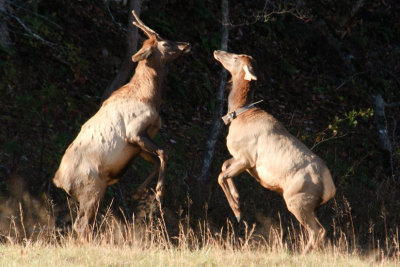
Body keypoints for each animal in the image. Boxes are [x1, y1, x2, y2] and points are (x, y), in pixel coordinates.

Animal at [52, 10, 191, 236]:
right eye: (164, 42)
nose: (186, 44)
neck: (149, 97)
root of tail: (60, 182)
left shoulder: (139, 144)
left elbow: (157, 159)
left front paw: (138, 192)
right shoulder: (135, 132)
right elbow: (165, 153)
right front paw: (158, 193)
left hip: (89, 195)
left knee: (81, 225)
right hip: (93, 189)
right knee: (82, 226)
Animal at [214, 50, 336, 253]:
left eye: (236, 57)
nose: (218, 51)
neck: (239, 116)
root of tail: (330, 189)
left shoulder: (247, 158)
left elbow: (220, 175)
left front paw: (237, 211)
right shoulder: (240, 158)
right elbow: (224, 166)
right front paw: (238, 198)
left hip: (297, 199)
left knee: (317, 230)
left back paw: (302, 254)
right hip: (309, 205)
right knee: (321, 231)